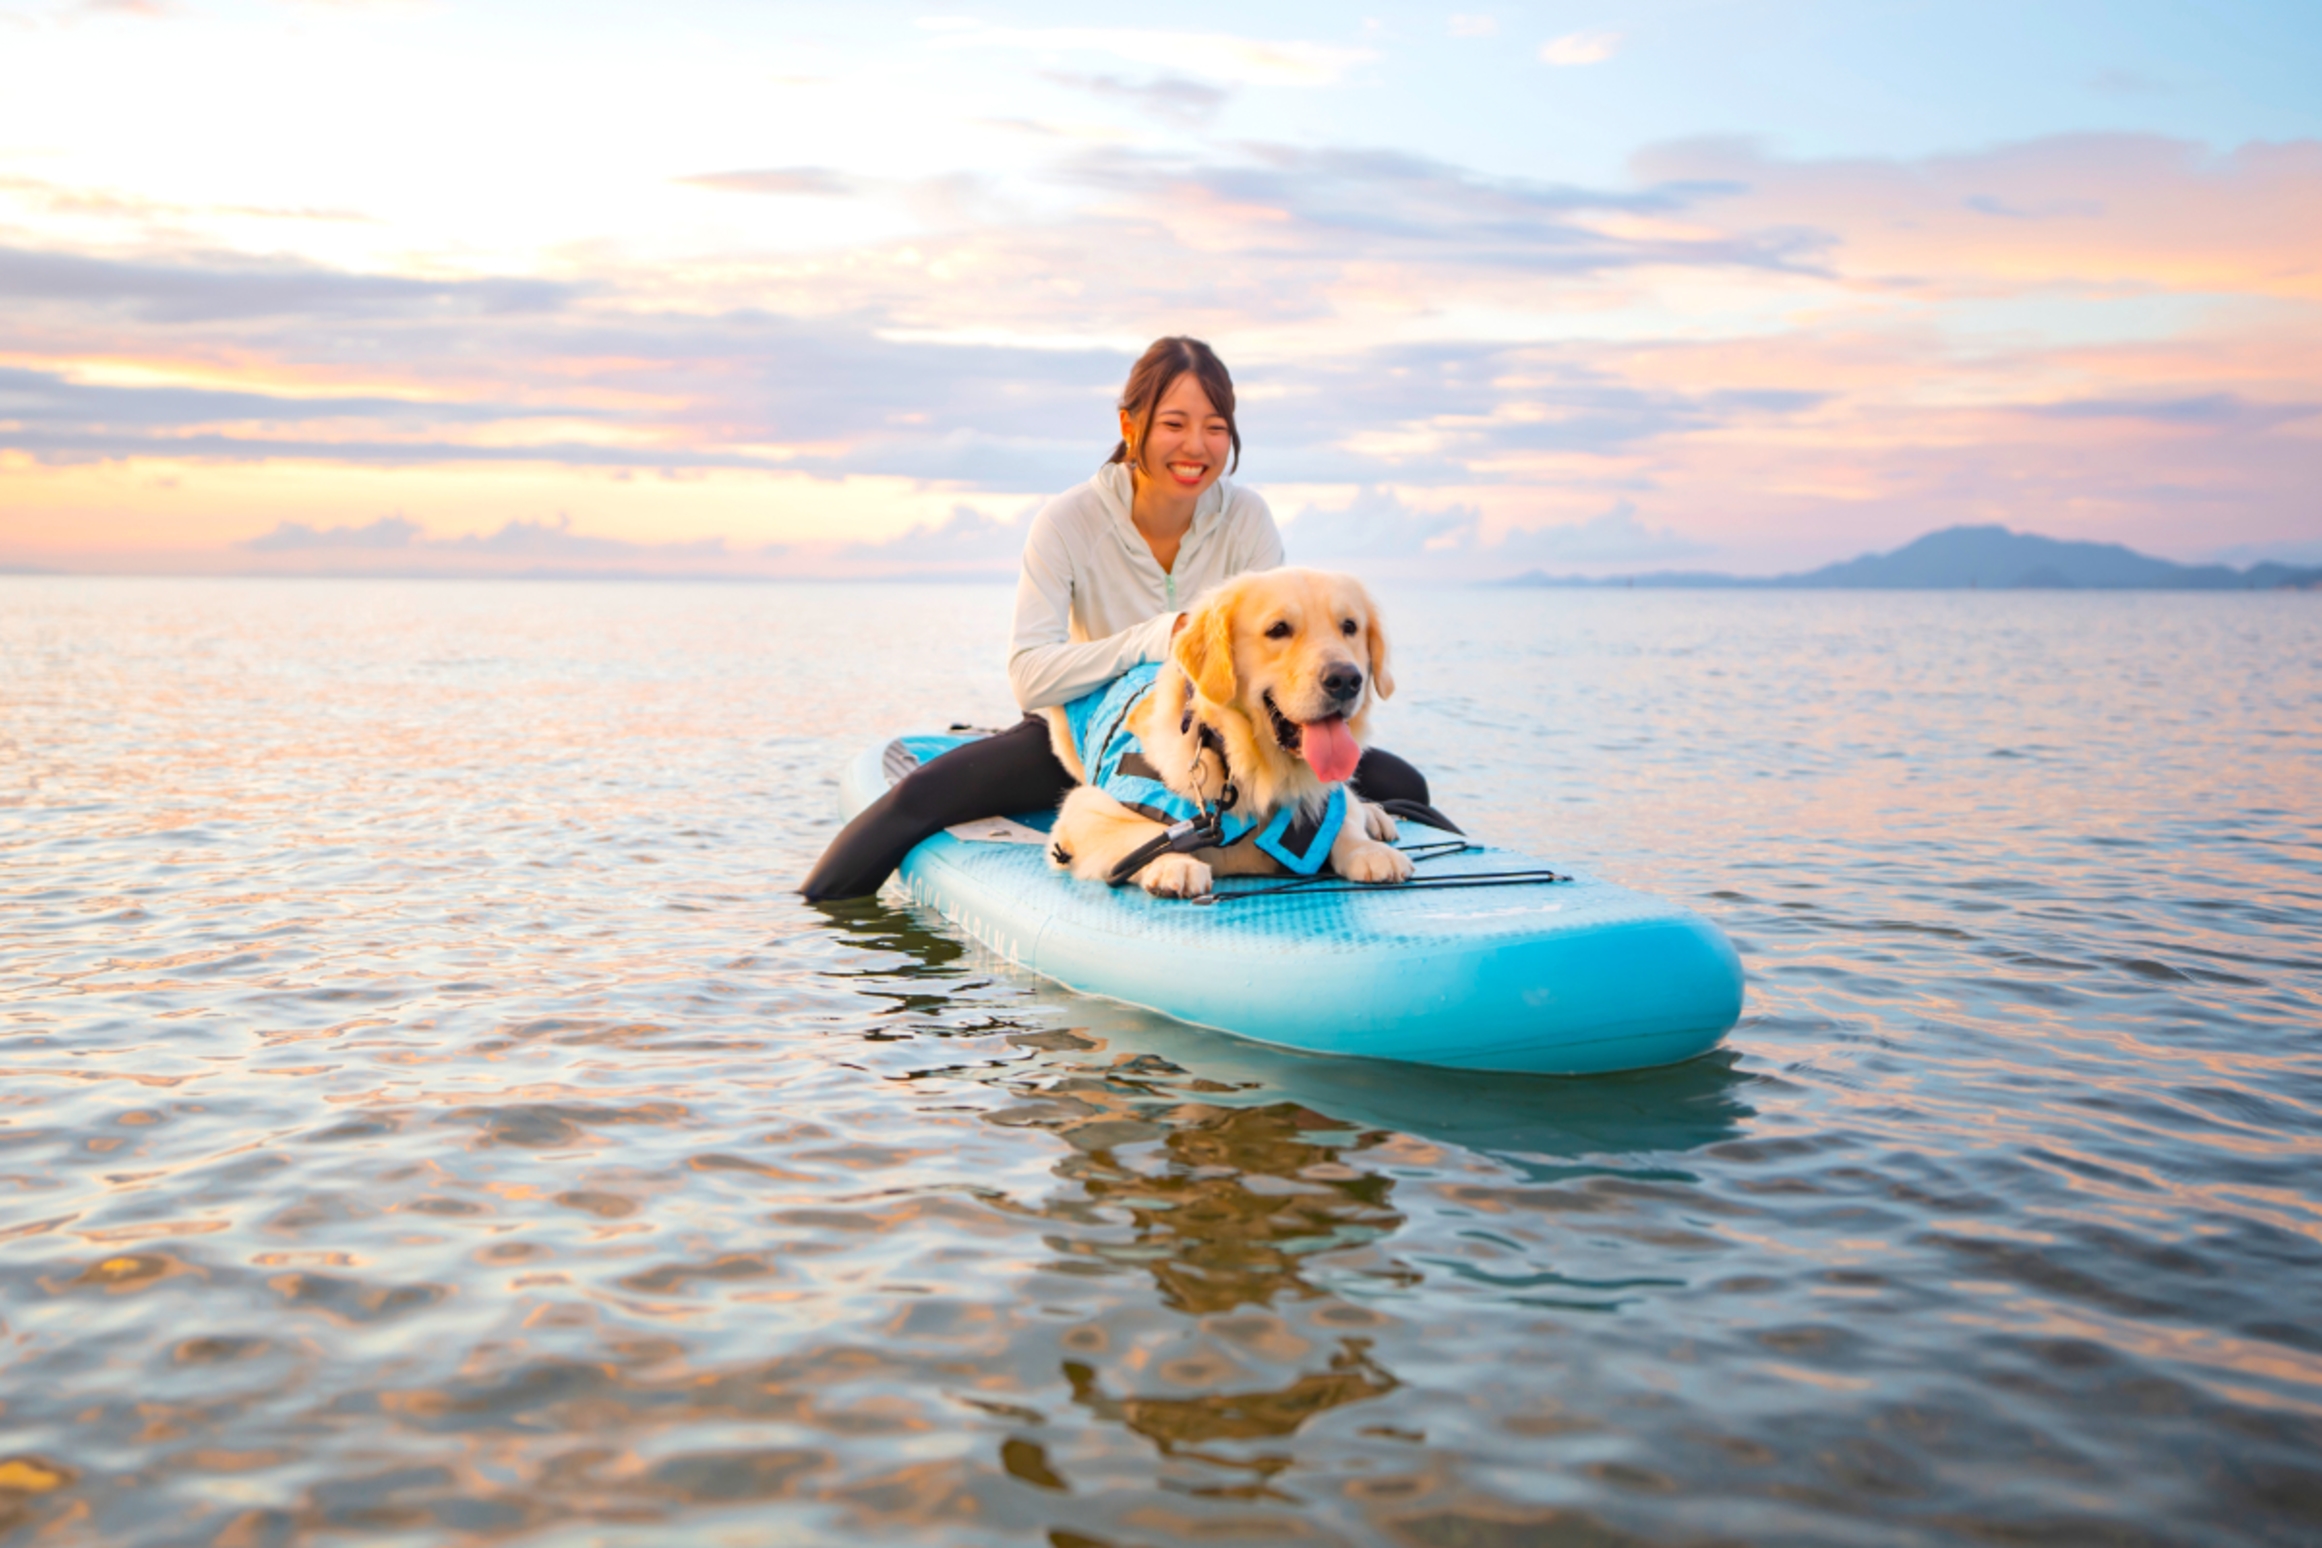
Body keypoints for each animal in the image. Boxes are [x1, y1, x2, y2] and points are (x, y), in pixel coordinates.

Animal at [1040, 568, 1411, 895]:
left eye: (1350, 627)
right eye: (1278, 629)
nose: (1346, 679)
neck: (1239, 763)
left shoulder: (1324, 800)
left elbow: (1342, 815)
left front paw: (1368, 850)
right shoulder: (1083, 811)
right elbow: (1144, 837)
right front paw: (1174, 863)